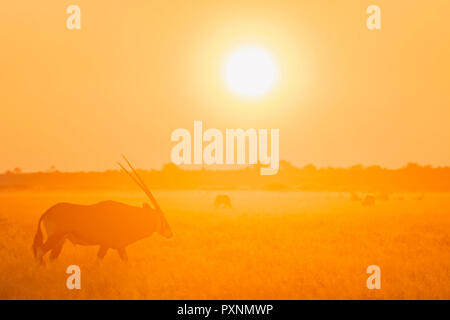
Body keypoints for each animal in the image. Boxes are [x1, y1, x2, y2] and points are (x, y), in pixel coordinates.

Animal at [31, 156, 172, 264]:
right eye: (160, 215)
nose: (170, 233)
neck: (128, 215)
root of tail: (47, 212)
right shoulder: (105, 245)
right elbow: (97, 262)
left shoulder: (120, 247)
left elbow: (126, 262)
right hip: (55, 238)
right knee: (40, 252)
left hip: (60, 242)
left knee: (51, 257)